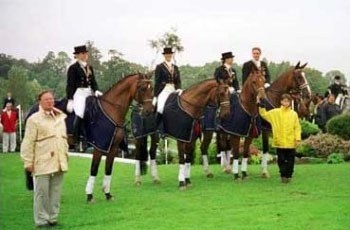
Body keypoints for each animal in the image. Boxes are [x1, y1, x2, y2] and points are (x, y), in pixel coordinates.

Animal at [83, 72, 153, 203]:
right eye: (142, 88)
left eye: (152, 88)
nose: (149, 111)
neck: (111, 111)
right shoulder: (99, 147)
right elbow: (94, 169)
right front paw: (89, 195)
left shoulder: (113, 148)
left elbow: (108, 168)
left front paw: (107, 194)